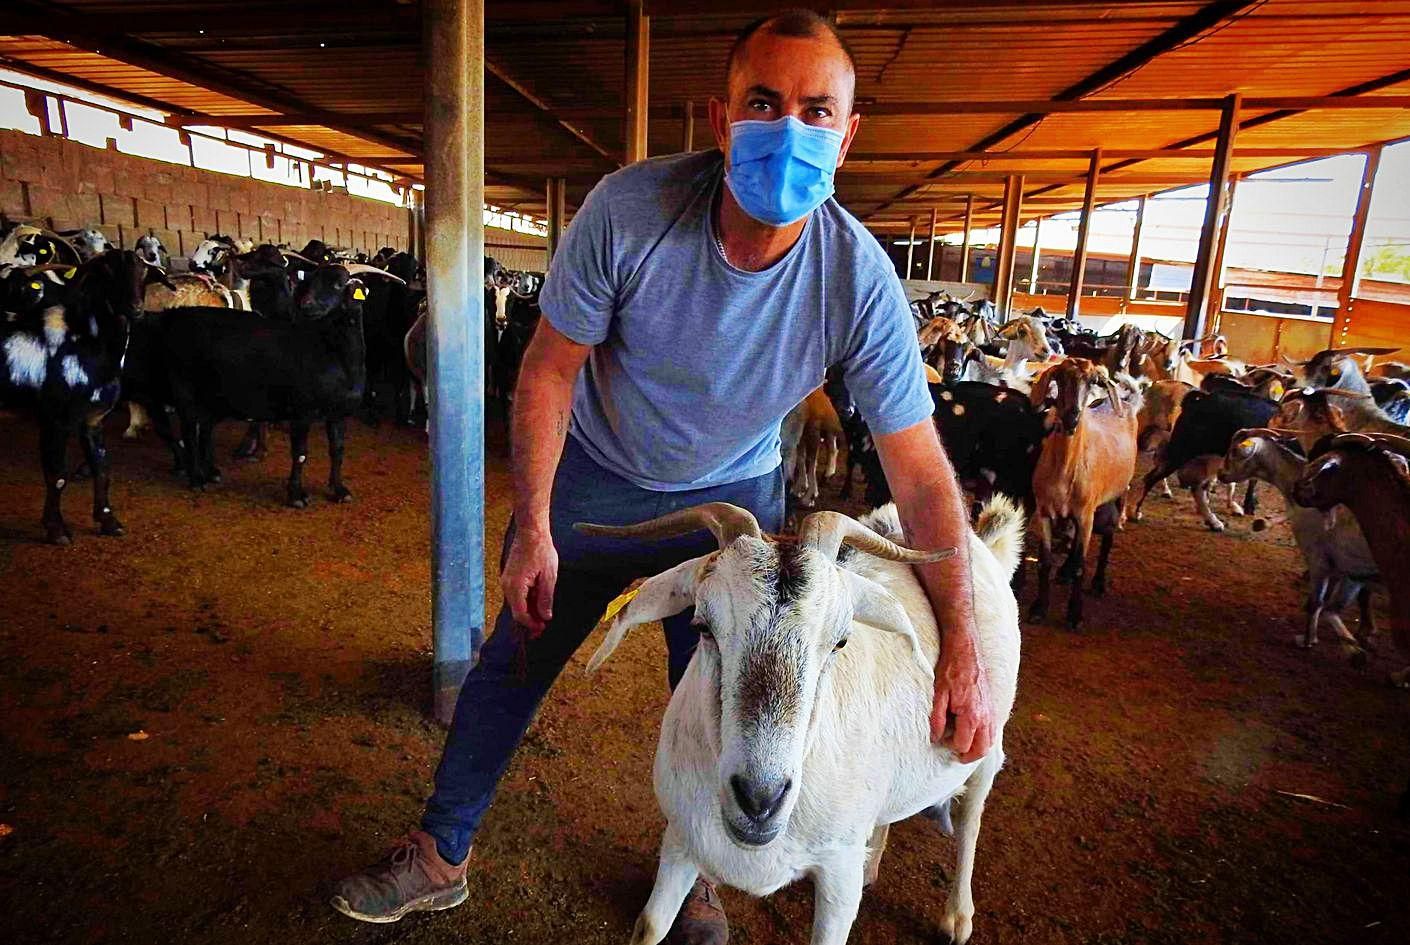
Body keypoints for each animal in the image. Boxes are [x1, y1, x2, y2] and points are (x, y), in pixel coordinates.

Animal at [1, 251, 172, 544]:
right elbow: (57, 476)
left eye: (143, 272)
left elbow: (102, 468)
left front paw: (108, 521)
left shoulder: (93, 419)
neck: (88, 340)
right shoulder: (55, 420)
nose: (135, 307)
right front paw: (56, 529)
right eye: (106, 271)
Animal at [578, 499, 1020, 942]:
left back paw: (957, 917)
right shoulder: (680, 840)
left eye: (840, 641)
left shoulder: (838, 876)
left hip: (985, 742)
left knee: (970, 818)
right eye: (702, 626)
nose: (760, 801)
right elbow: (651, 926)